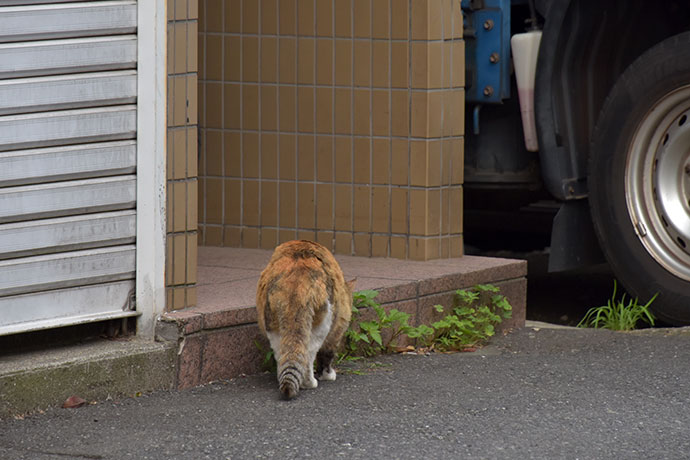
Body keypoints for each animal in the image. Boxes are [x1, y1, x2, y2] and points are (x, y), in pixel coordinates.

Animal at [255, 241, 352, 398]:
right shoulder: (337, 330)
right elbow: (327, 354)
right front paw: (328, 375)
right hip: (322, 325)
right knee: (309, 354)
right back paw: (309, 383)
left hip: (273, 324)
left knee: (283, 354)